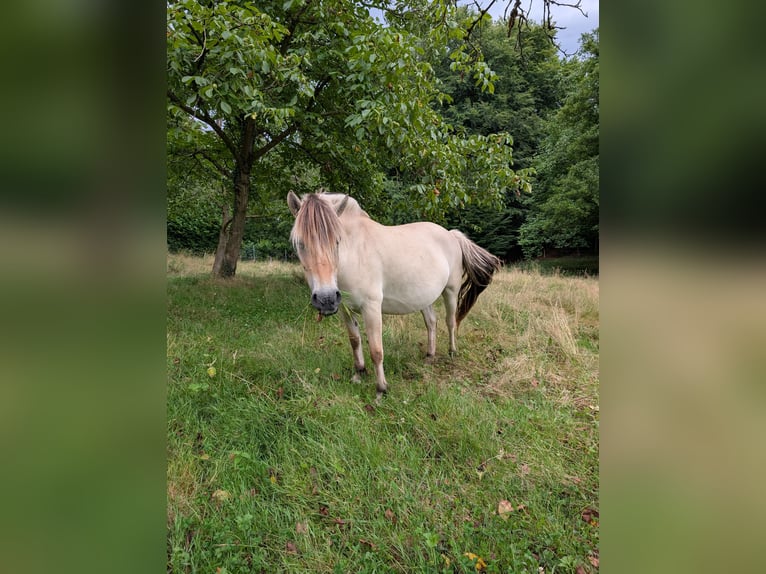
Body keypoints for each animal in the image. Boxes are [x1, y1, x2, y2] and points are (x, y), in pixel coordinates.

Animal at [287, 191, 501, 400]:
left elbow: (376, 350)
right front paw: (359, 374)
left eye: (337, 242)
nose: (326, 299)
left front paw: (381, 390)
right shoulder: (345, 309)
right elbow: (354, 340)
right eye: (300, 243)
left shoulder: (371, 307)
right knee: (432, 322)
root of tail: (451, 235)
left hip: (451, 291)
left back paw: (452, 351)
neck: (355, 253)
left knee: (451, 322)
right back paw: (430, 356)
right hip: (424, 297)